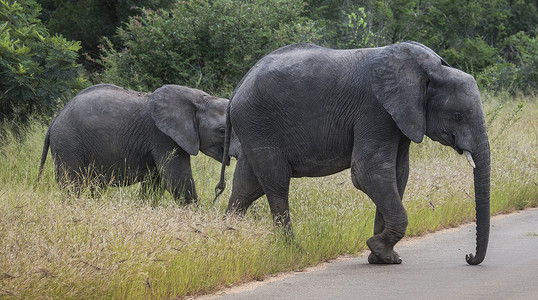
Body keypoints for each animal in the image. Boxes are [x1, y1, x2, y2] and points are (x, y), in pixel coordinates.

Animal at [38, 83, 227, 203]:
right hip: (68, 143)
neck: (200, 99)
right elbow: (177, 179)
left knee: (94, 186)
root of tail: (55, 120)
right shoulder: (163, 137)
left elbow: (154, 184)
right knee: (72, 184)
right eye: (222, 131)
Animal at [215, 41, 490, 264]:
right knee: (276, 183)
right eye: (458, 115)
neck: (430, 70)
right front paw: (378, 248)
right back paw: (294, 251)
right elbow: (368, 172)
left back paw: (229, 241)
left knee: (246, 187)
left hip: (253, 128)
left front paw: (383, 257)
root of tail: (239, 86)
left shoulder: (400, 117)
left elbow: (397, 175)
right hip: (259, 123)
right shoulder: (376, 109)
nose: (468, 257)